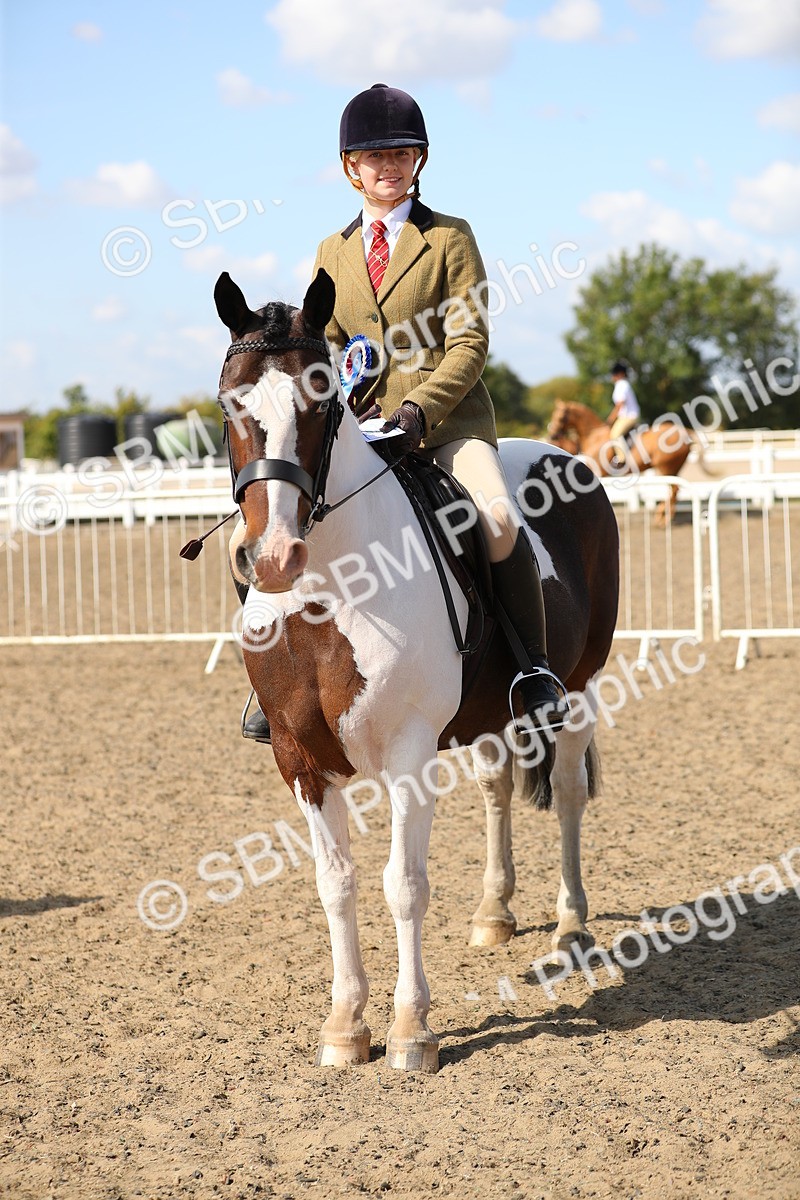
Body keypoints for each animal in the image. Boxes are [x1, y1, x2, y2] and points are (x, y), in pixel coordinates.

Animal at [213, 268, 619, 1073]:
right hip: (491, 713)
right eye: (228, 404)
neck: (332, 588)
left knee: (564, 794)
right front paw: (344, 1026)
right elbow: (335, 884)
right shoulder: (298, 758)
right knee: (497, 788)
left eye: (322, 401)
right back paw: (494, 913)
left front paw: (411, 1031)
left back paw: (571, 929)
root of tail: (565, 456)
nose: (271, 558)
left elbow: (402, 884)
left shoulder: (407, 754)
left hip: (580, 688)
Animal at [546, 398, 709, 523]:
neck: (594, 436)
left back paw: (663, 519)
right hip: (673, 468)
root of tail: (684, 432)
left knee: (673, 490)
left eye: (560, 417)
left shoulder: (598, 472)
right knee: (674, 490)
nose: (552, 435)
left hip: (666, 467)